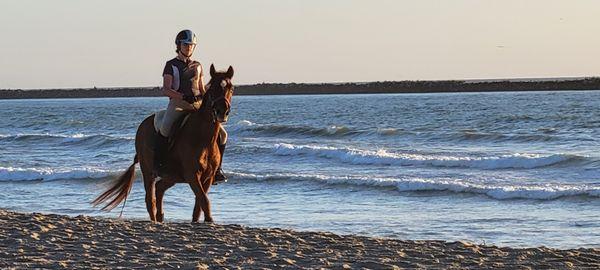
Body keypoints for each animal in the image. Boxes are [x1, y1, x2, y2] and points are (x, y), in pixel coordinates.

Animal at [92, 64, 234, 223]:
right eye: (213, 88)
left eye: (231, 88)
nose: (222, 112)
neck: (203, 138)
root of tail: (143, 124)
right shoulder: (192, 175)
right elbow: (204, 200)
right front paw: (209, 220)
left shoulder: (208, 177)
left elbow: (199, 205)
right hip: (148, 171)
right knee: (150, 199)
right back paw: (155, 220)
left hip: (173, 176)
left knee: (160, 188)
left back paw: (160, 218)